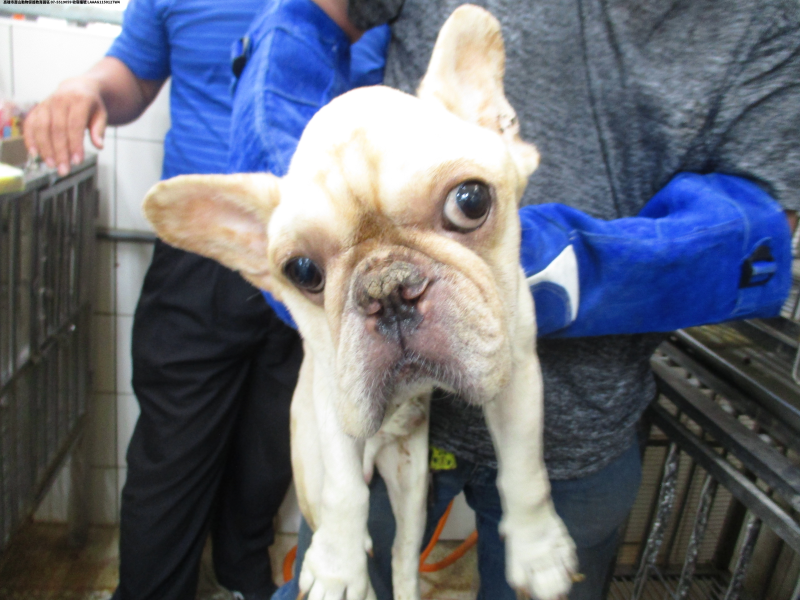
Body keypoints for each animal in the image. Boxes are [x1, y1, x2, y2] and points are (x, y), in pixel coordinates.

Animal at [142, 5, 576, 599]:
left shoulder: (516, 372)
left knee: (404, 551)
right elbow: (344, 491)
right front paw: (336, 569)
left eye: (470, 201)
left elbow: (524, 466)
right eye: (302, 271)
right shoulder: (331, 397)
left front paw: (538, 549)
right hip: (309, 462)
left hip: (413, 480)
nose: (387, 289)